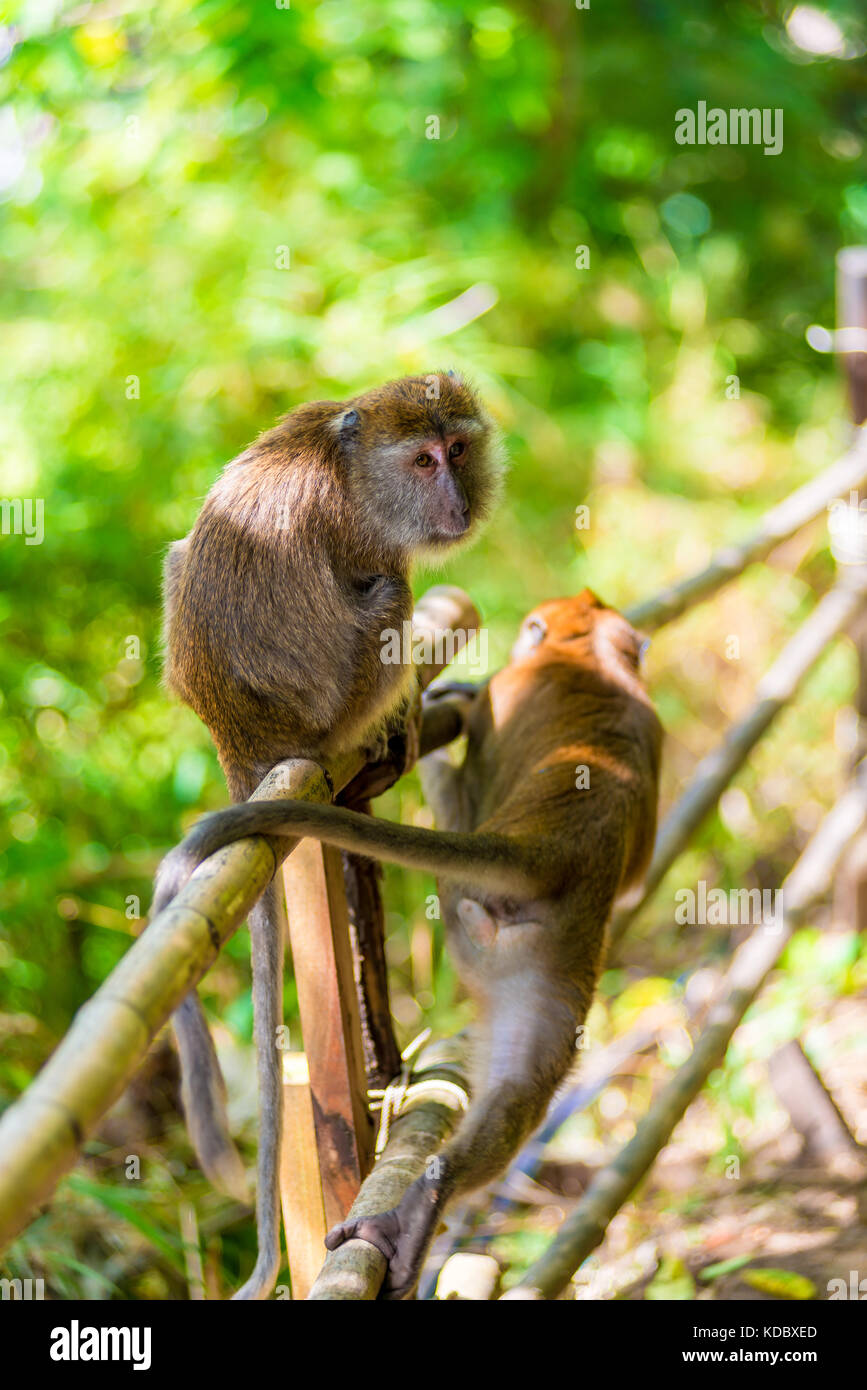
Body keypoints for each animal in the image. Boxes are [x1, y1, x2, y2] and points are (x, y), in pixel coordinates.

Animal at [151, 372, 502, 1300]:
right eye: (423, 461)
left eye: (457, 449)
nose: (456, 500)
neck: (347, 461)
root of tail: (242, 738)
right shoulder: (370, 534)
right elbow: (382, 580)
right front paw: (408, 711)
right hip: (332, 701)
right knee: (387, 598)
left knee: (176, 557)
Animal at [153, 590, 663, 1299]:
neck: (587, 656)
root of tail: (554, 846)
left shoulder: (503, 697)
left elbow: (479, 736)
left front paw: (450, 707)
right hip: (555, 952)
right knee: (522, 1085)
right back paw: (426, 1202)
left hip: (463, 910)